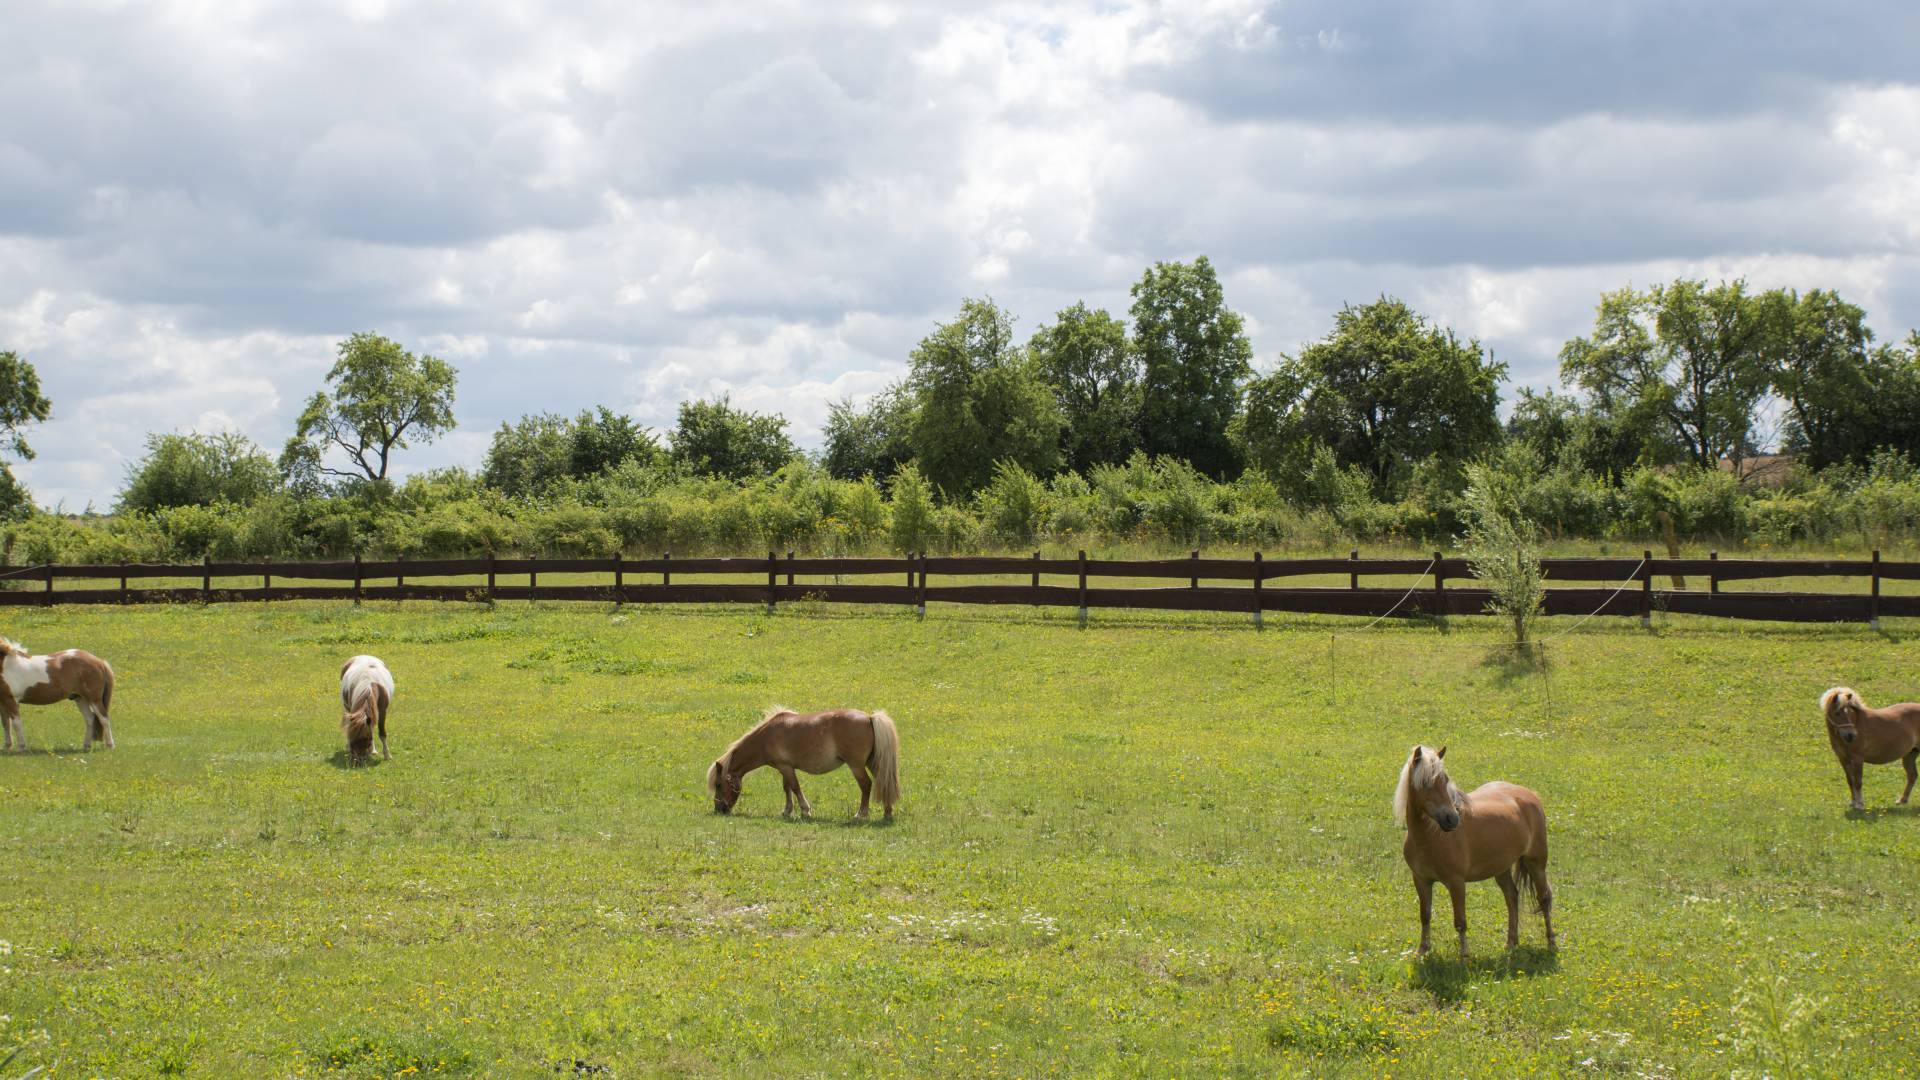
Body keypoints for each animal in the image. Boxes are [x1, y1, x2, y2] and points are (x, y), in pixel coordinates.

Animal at [710, 707, 902, 814]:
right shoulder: (784, 767)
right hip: (873, 762)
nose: (719, 810)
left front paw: (805, 810)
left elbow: (795, 787)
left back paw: (861, 814)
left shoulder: (786, 767)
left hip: (856, 766)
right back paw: (888, 812)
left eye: (718, 785)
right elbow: (787, 788)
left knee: (866, 785)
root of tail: (869, 717)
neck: (767, 736)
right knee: (884, 783)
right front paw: (787, 811)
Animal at [1397, 737, 1559, 957]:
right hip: (1501, 868)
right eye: (1426, 783)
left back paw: (1551, 943)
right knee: (1512, 897)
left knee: (1543, 898)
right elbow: (1425, 915)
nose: (1452, 819)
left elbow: (1460, 921)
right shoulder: (1421, 880)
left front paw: (1464, 955)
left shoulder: (1456, 882)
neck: (1429, 838)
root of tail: (1530, 795)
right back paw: (1511, 943)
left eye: (1445, 780)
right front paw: (1422, 950)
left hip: (1536, 863)